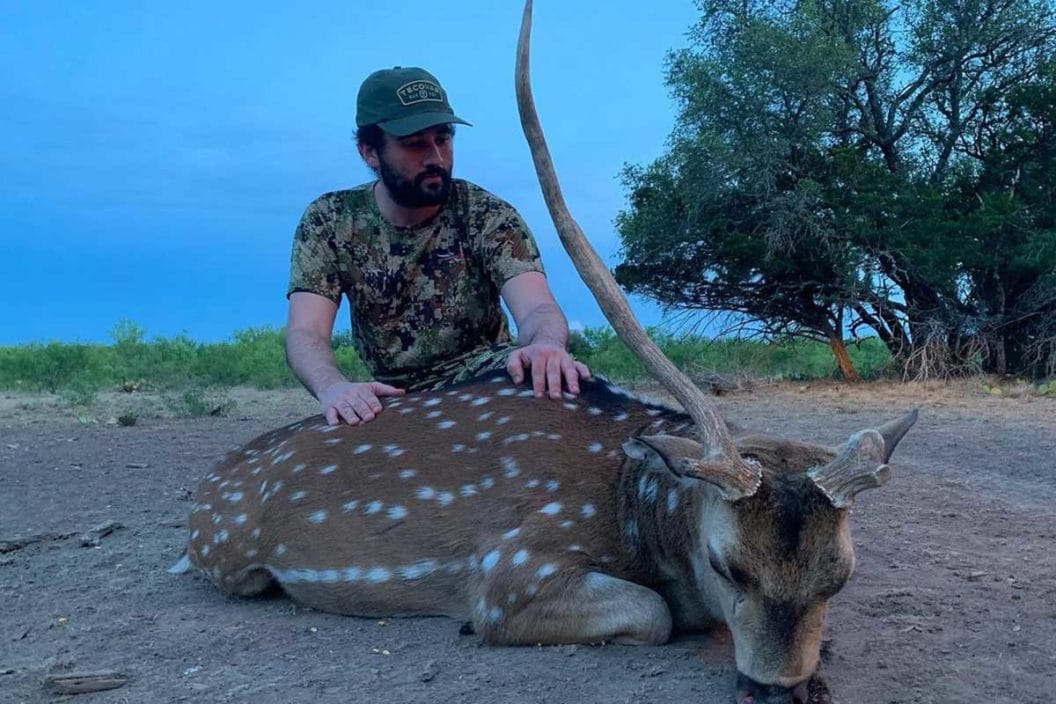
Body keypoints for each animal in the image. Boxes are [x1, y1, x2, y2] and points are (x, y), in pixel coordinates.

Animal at [171, 2, 916, 700]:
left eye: (840, 575)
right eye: (727, 564)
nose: (775, 687)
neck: (637, 505)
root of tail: (203, 495)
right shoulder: (514, 573)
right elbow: (652, 614)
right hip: (229, 557)